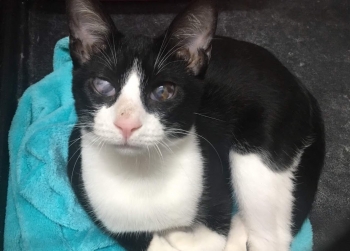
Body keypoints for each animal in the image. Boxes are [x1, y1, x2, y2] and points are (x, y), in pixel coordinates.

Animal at [66, 0, 326, 251]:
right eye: (102, 85)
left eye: (164, 91)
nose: (127, 124)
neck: (140, 172)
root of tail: (299, 85)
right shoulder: (89, 189)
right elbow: (146, 240)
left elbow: (209, 239)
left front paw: (177, 234)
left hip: (260, 150)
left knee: (271, 236)